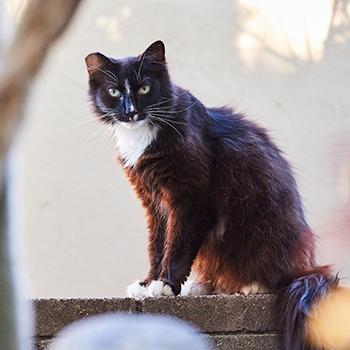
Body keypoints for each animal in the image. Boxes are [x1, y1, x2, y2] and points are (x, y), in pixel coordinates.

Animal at [84, 41, 336, 350]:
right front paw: (147, 283)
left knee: (280, 275)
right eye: (114, 92)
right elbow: (157, 245)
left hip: (265, 229)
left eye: (144, 88)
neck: (143, 134)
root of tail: (310, 267)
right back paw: (201, 286)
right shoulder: (154, 202)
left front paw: (165, 285)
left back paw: (252, 284)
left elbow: (177, 243)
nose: (130, 111)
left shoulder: (192, 196)